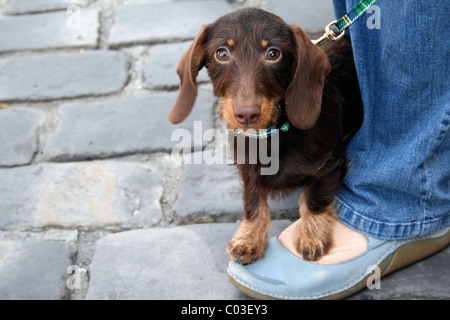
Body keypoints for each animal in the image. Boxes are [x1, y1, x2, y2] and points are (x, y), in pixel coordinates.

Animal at [169, 8, 362, 262]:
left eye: (273, 54)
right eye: (222, 53)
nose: (246, 114)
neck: (272, 134)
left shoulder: (331, 164)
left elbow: (314, 198)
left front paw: (311, 235)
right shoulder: (248, 170)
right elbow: (253, 202)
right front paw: (249, 238)